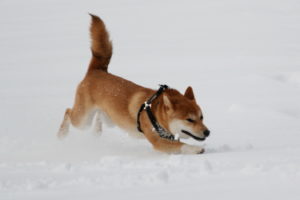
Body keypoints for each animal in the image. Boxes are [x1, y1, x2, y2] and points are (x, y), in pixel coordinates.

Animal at [57, 14, 210, 155]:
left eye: (201, 117)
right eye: (189, 120)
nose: (207, 132)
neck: (155, 112)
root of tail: (96, 70)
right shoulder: (158, 141)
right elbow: (181, 146)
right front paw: (196, 149)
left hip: (108, 118)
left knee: (98, 117)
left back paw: (96, 133)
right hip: (83, 119)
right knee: (68, 111)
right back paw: (61, 135)